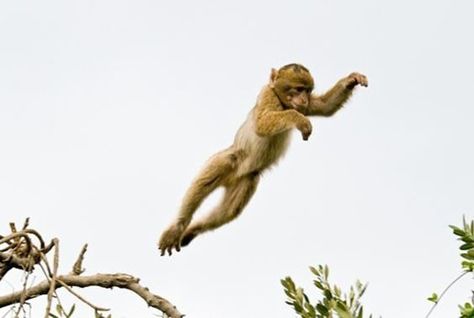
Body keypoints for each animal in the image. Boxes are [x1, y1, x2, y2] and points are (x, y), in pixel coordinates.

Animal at [158, 63, 366, 255]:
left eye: (308, 91)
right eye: (298, 89)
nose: (304, 98)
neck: (283, 102)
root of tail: (234, 175)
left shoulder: (304, 107)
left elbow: (324, 106)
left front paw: (351, 80)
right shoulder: (268, 94)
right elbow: (263, 123)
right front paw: (298, 119)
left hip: (247, 179)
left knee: (229, 211)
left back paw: (192, 230)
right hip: (231, 159)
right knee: (207, 179)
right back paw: (179, 226)